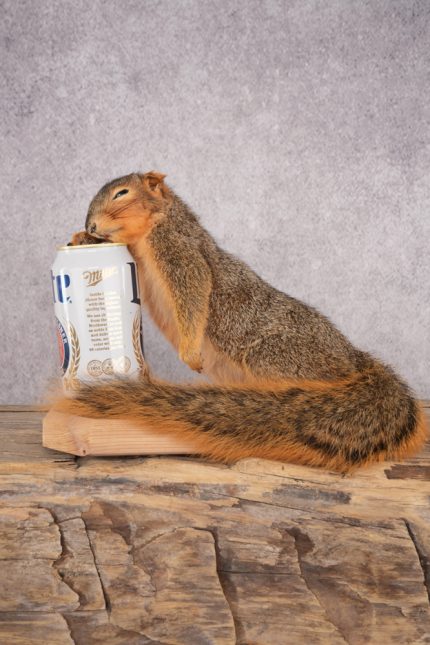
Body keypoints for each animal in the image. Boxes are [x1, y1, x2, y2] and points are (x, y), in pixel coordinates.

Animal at [60, 171, 427, 472]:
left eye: (121, 193)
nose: (91, 226)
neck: (157, 224)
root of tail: (354, 361)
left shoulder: (181, 252)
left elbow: (194, 293)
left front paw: (190, 353)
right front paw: (79, 239)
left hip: (275, 357)